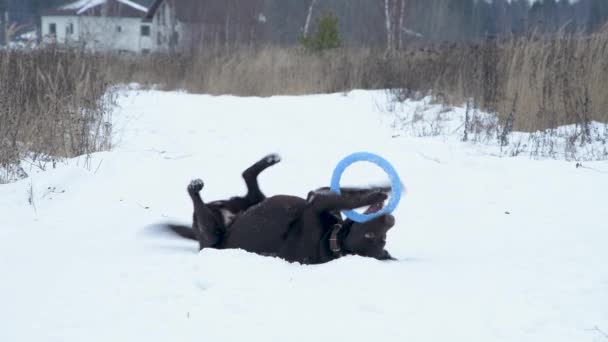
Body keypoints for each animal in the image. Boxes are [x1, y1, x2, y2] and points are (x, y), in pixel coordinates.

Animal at [166, 154, 396, 264]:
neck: (332, 239)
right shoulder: (318, 198)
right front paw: (383, 188)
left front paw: (379, 194)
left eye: (378, 238)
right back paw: (270, 159)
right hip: (254, 201)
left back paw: (195, 187)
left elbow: (344, 199)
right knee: (248, 177)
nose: (391, 221)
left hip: (212, 231)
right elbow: (348, 193)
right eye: (370, 236)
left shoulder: (316, 201)